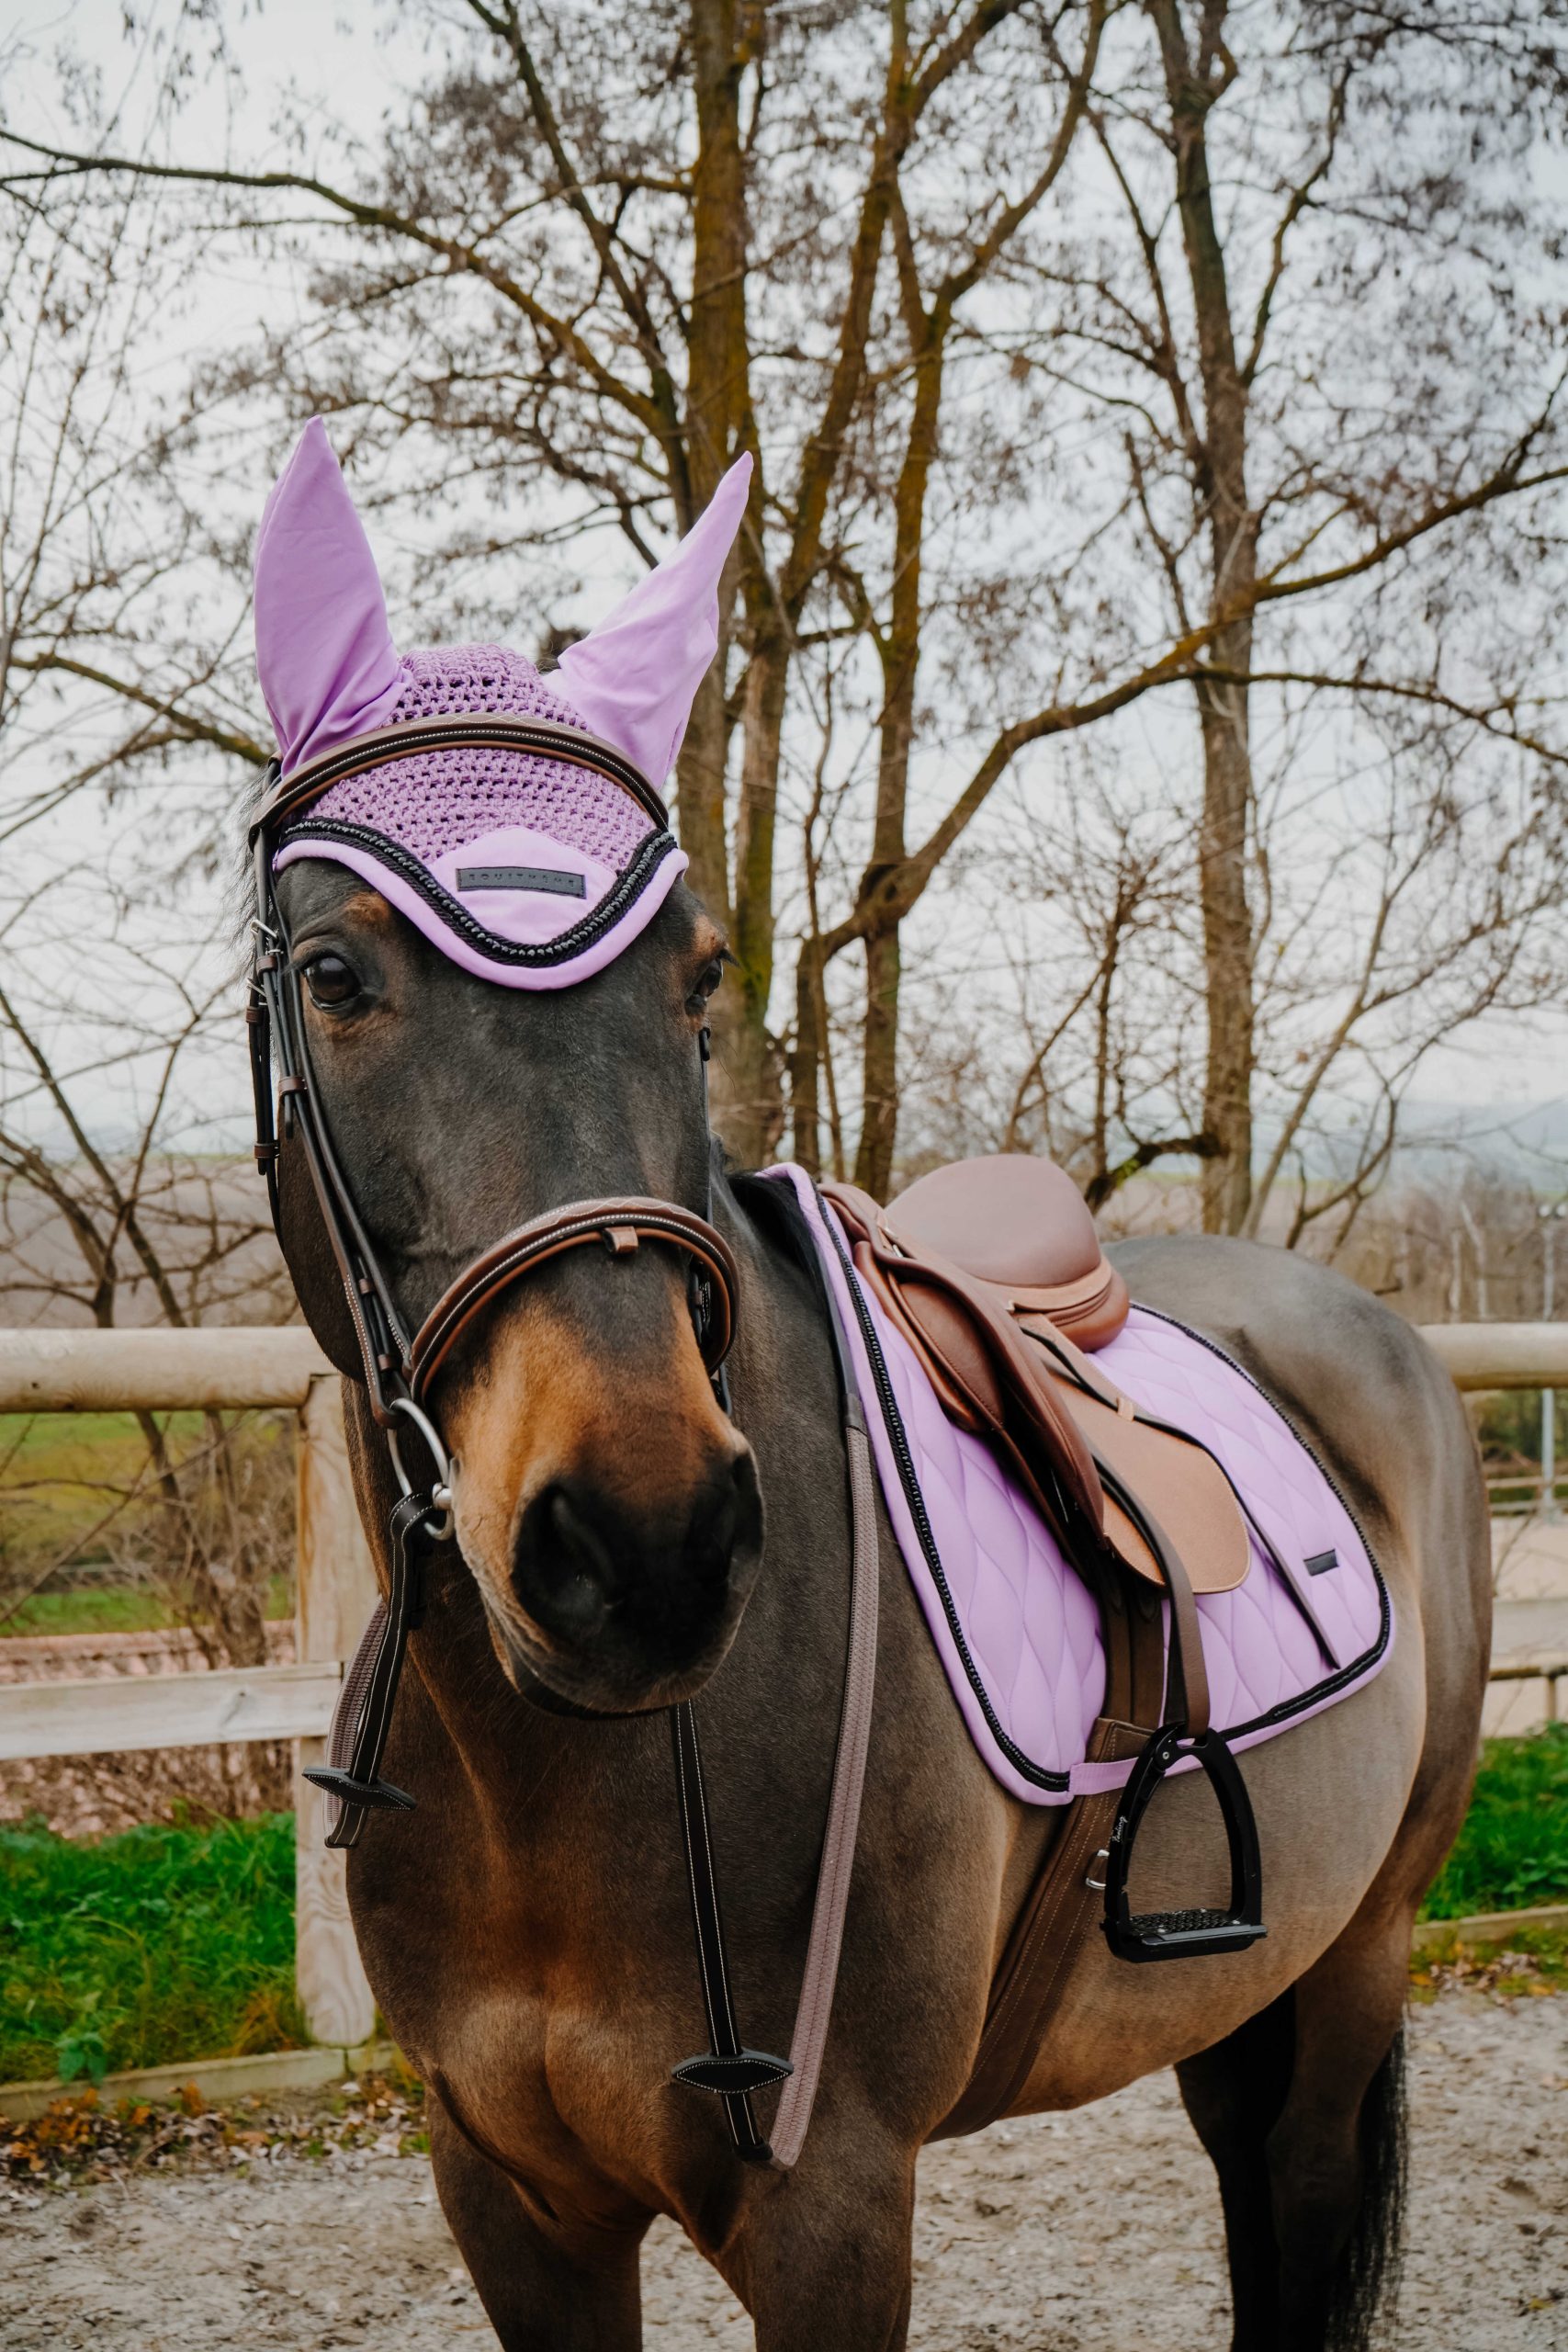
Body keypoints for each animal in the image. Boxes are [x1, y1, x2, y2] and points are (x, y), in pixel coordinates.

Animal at [248, 423, 1489, 2352]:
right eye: (332, 972)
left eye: (695, 976)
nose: (648, 1543)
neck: (556, 1785)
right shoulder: (510, 2198)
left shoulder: (830, 2206)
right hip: (1246, 1992)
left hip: (1355, 1959)